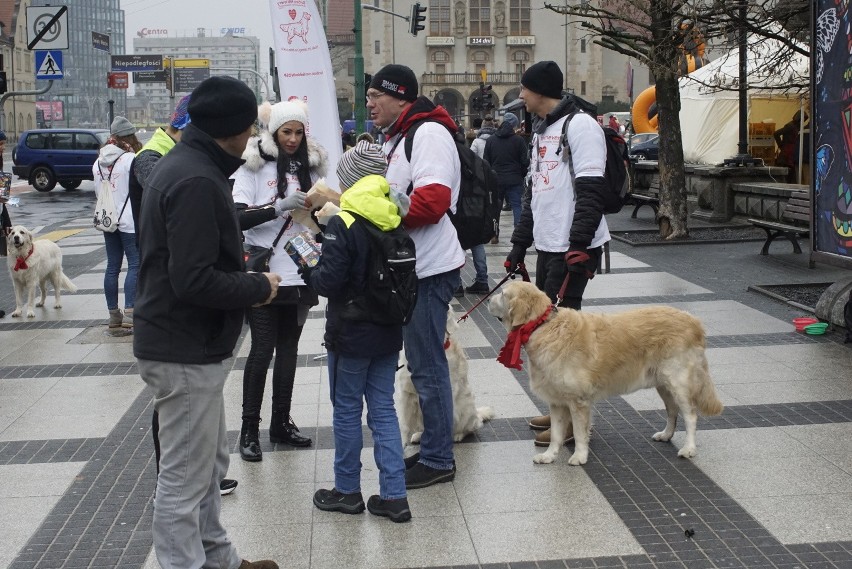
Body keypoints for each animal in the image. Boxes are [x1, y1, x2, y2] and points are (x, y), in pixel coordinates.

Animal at [396, 310, 496, 444]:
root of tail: (476, 413)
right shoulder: (405, 393)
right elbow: (404, 425)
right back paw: (419, 435)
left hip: (465, 409)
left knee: (470, 427)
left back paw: (457, 435)